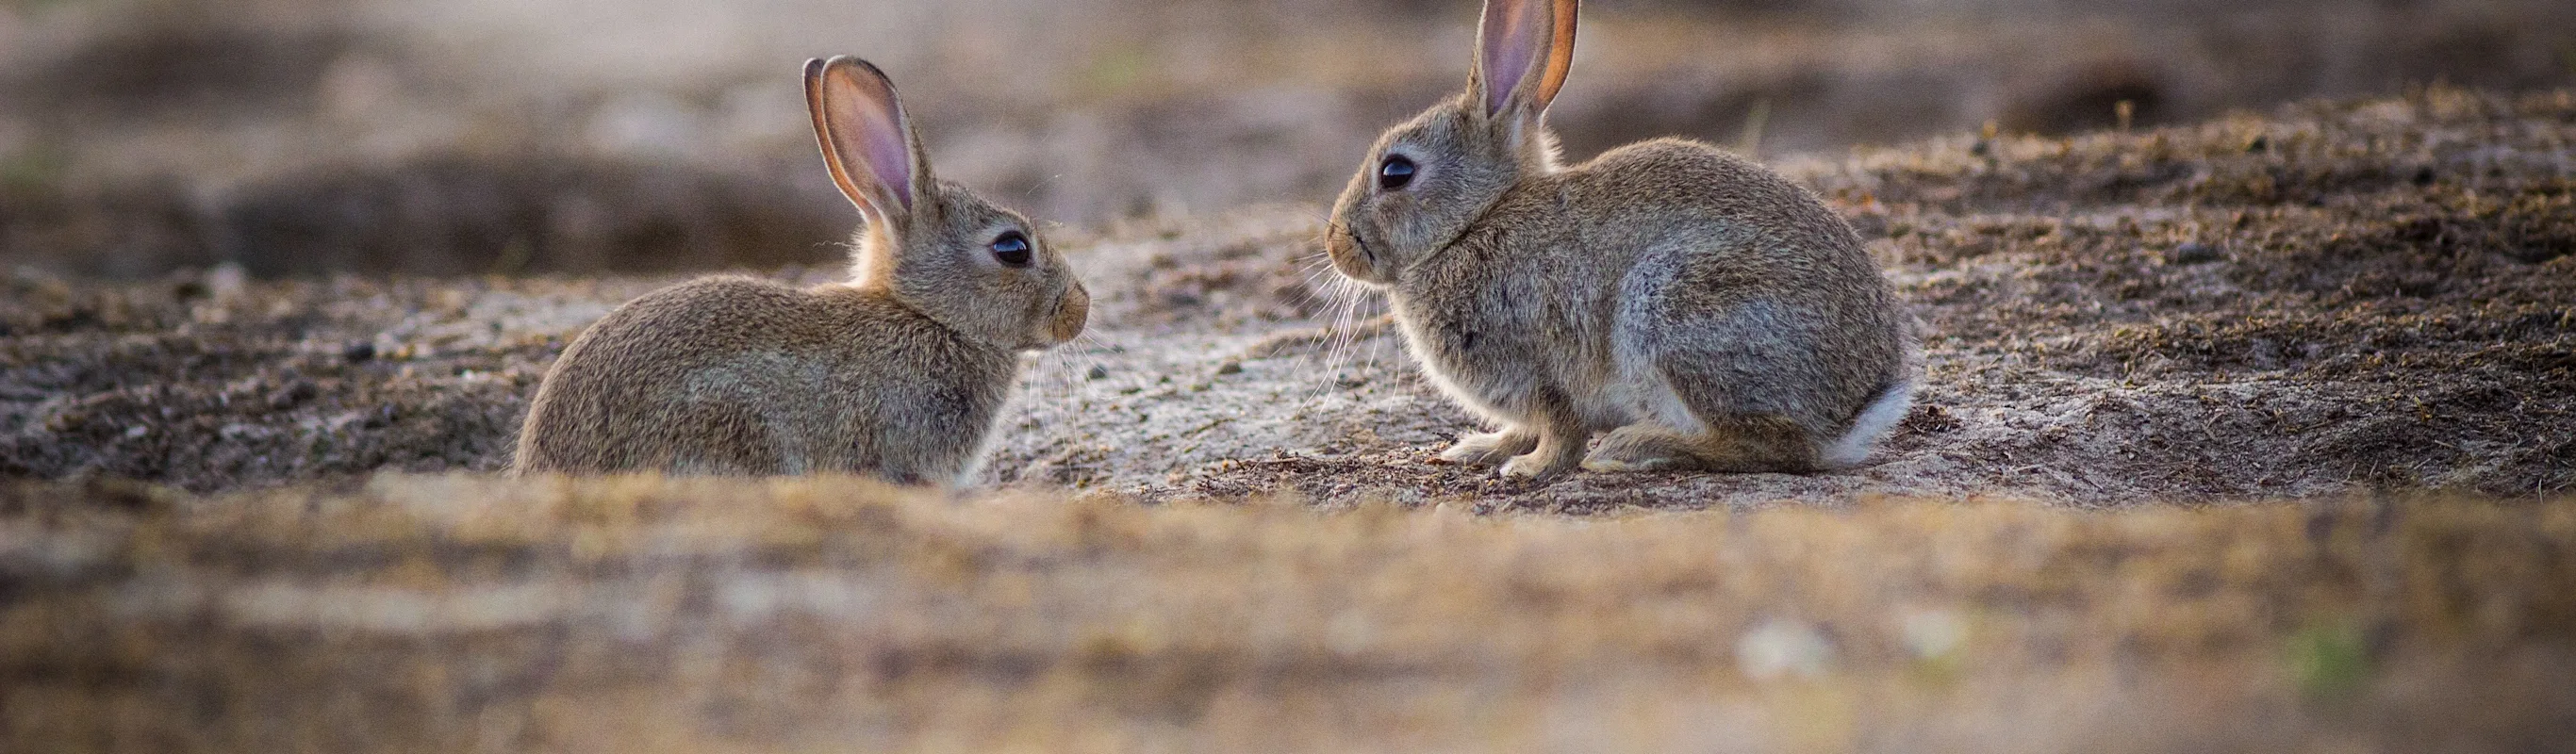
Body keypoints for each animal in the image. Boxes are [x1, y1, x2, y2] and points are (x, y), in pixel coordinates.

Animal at [1329, 0, 1916, 478]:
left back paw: (1633, 449)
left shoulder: (1544, 365)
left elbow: (1560, 430)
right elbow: (1521, 428)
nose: (1336, 246)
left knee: (1777, 445)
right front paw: (1477, 448)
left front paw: (1529, 468)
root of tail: (1860, 408)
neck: (1475, 222)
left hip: (1675, 308)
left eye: (1396, 172)